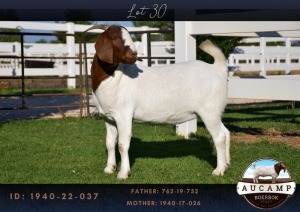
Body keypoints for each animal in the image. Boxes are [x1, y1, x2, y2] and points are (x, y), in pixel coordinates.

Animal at [85, 24, 231, 179]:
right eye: (114, 37)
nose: (134, 54)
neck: (114, 78)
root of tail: (218, 69)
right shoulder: (108, 118)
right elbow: (110, 143)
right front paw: (109, 168)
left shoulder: (123, 115)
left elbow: (122, 144)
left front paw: (123, 173)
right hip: (215, 112)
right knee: (226, 133)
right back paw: (227, 165)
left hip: (208, 111)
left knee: (219, 137)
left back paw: (219, 170)